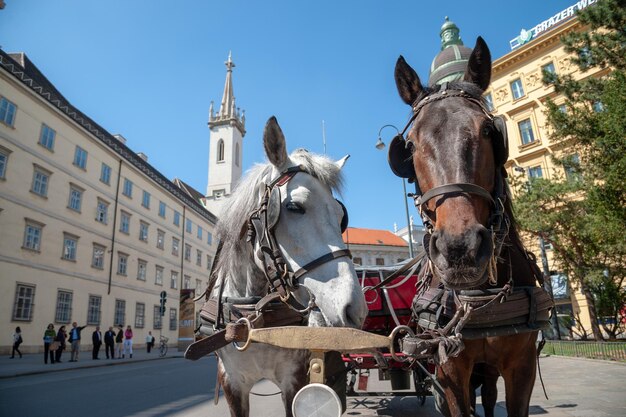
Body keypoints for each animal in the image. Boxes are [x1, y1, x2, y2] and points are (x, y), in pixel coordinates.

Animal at [207, 116, 368, 416]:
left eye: (341, 215)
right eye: (294, 207)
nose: (355, 309)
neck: (252, 316)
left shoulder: (295, 377)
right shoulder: (231, 381)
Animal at [390, 37, 544, 414]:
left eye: (489, 131)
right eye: (409, 145)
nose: (460, 248)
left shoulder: (523, 367)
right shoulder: (448, 370)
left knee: (487, 396)